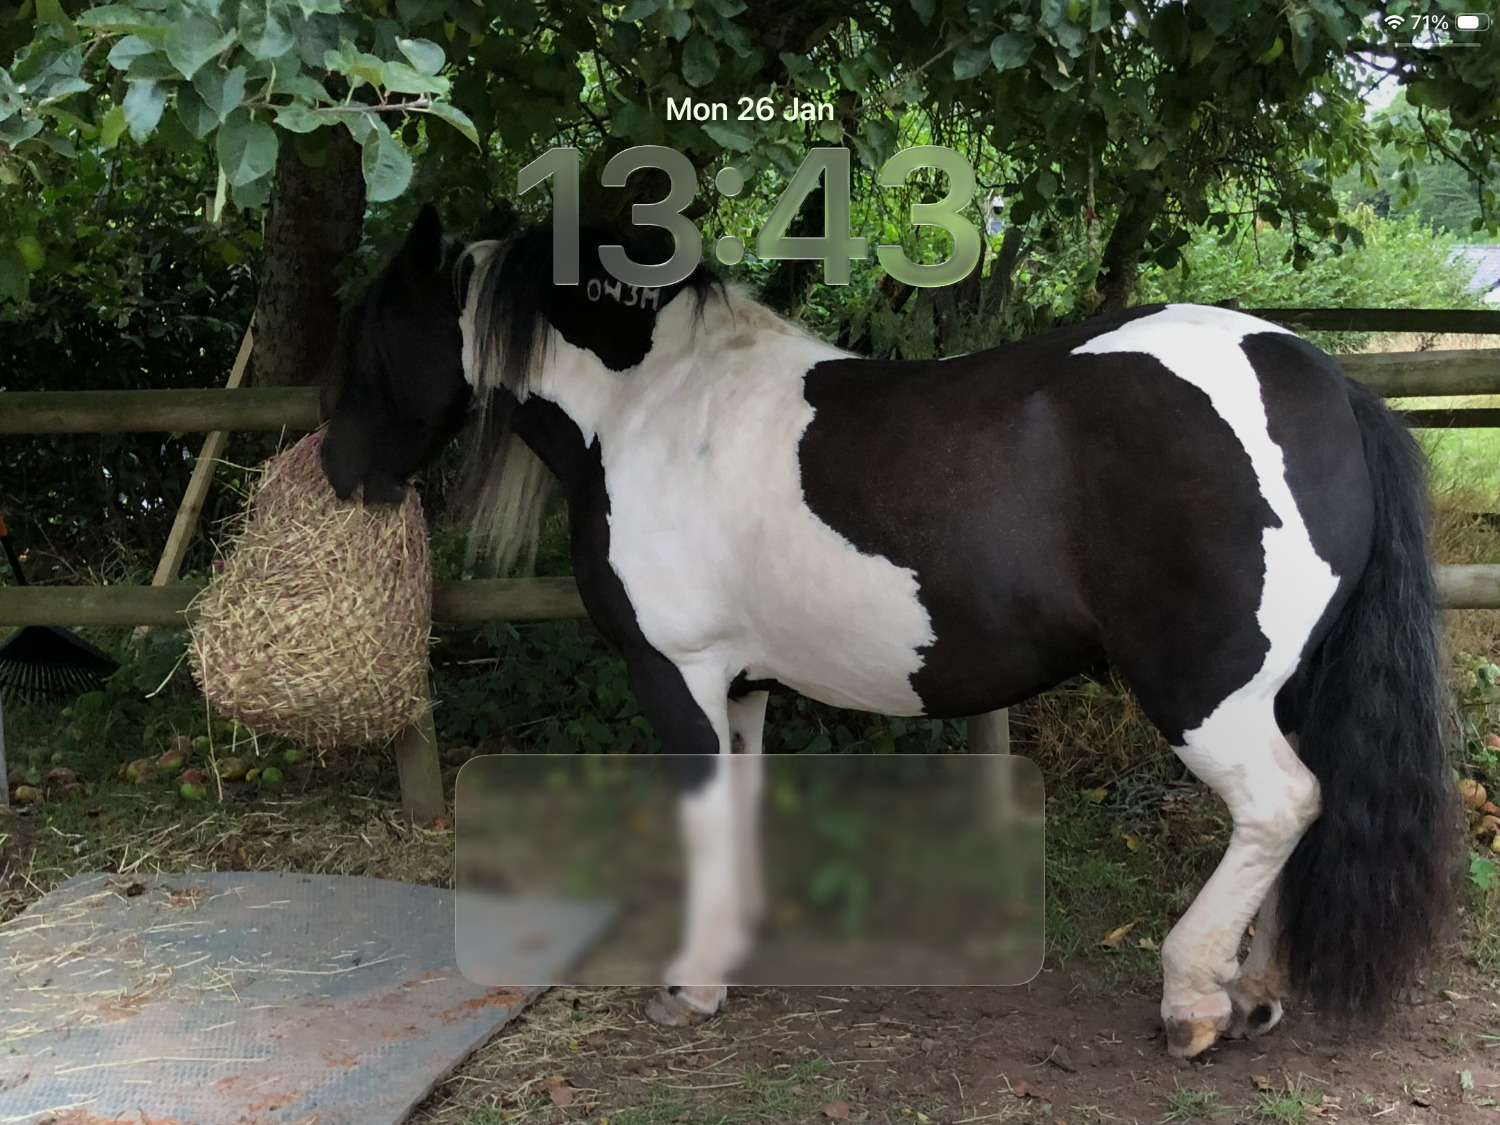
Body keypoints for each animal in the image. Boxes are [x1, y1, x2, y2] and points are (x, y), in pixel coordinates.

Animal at [320, 204, 1454, 1059]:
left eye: (376, 329)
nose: (339, 469)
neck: (651, 410)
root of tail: (1324, 380)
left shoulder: (676, 672)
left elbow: (702, 819)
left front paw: (690, 986)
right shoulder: (743, 682)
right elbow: (741, 807)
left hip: (1203, 689)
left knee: (1279, 804)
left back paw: (1193, 997)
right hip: (1283, 685)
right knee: (1299, 814)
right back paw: (1255, 987)